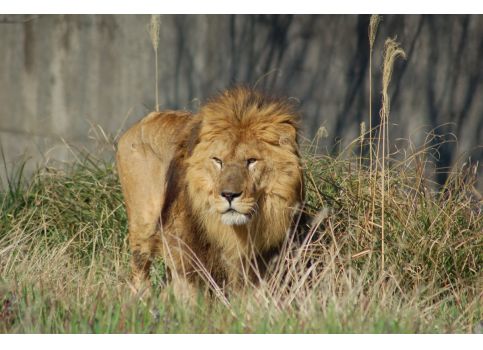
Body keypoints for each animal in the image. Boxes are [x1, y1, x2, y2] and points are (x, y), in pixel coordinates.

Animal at [116, 86, 302, 296]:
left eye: (251, 161)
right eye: (218, 160)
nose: (229, 195)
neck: (229, 232)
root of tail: (142, 121)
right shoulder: (184, 252)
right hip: (143, 227)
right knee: (140, 273)